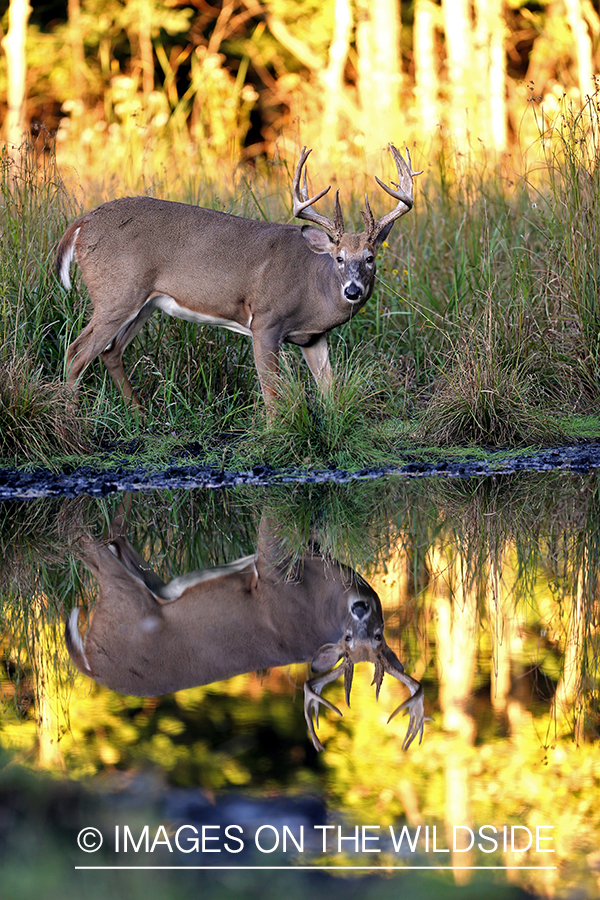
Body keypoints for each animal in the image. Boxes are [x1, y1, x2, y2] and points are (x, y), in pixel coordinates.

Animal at [58, 145, 420, 418]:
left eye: (370, 257)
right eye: (339, 257)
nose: (352, 290)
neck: (312, 290)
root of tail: (80, 224)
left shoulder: (314, 338)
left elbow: (328, 389)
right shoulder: (265, 322)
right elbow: (272, 394)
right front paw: (276, 437)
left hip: (144, 303)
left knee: (110, 351)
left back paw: (141, 415)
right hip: (116, 292)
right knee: (77, 351)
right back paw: (72, 421)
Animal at [67, 510, 426, 748]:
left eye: (376, 636)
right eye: (350, 638)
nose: (361, 607)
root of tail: (90, 665)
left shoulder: (274, 571)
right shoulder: (279, 567)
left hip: (127, 598)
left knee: (93, 543)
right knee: (106, 538)